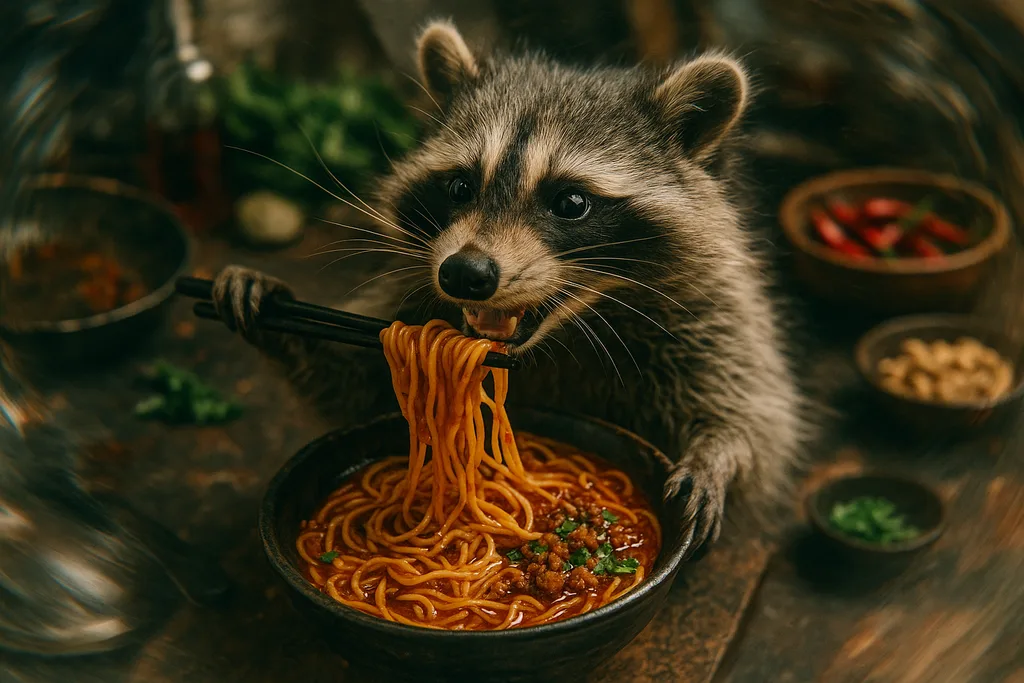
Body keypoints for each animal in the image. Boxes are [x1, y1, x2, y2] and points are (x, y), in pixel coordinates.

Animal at [212, 20, 807, 558]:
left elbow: (754, 411)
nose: (464, 274)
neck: (565, 332)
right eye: (459, 186)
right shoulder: (411, 298)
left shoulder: (711, 312)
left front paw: (719, 452)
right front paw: (273, 308)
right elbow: (353, 384)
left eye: (571, 202)